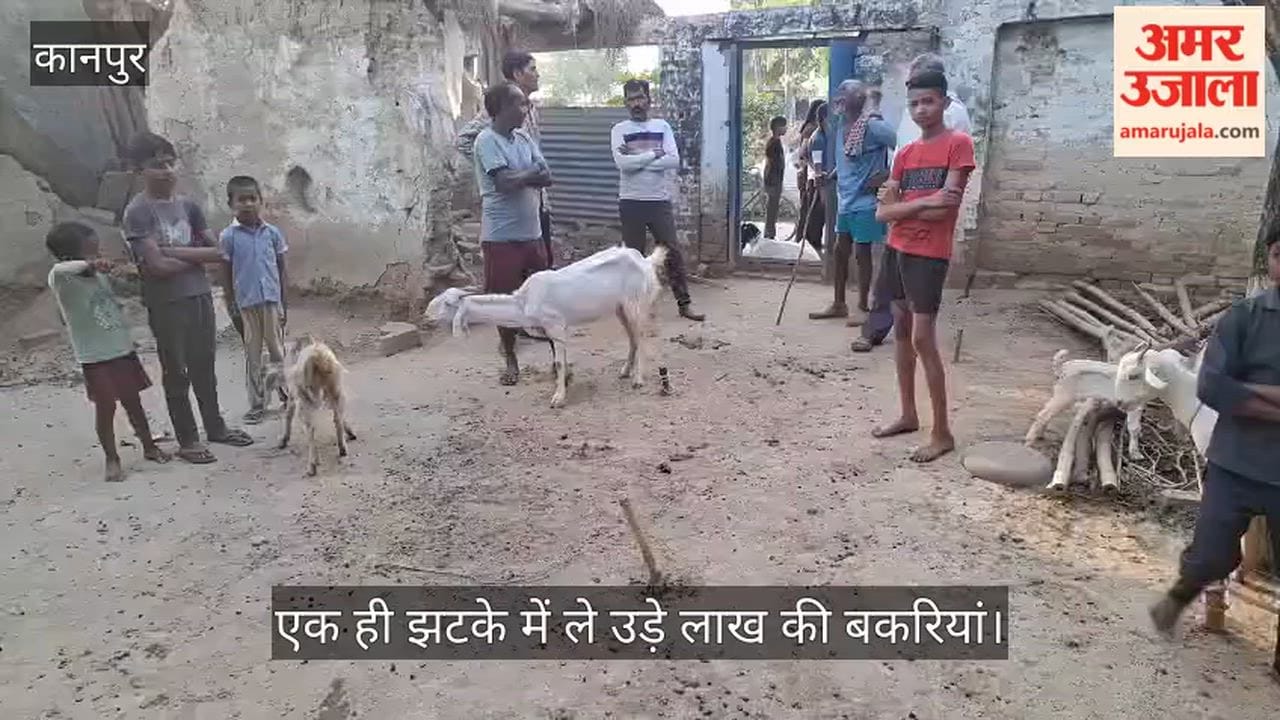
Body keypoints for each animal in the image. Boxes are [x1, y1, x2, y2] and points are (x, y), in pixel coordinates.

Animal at [273, 334, 357, 476]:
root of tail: (318, 356)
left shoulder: (293, 394)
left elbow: (288, 415)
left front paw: (284, 439)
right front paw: (350, 432)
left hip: (305, 399)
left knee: (310, 430)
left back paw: (312, 465)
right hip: (336, 390)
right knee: (337, 419)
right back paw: (342, 448)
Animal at [425, 244, 669, 408]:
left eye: (444, 304)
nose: (425, 317)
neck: (523, 303)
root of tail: (646, 261)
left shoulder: (556, 326)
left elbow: (559, 363)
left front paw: (558, 398)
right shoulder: (549, 330)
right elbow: (559, 360)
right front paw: (566, 383)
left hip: (635, 302)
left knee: (641, 336)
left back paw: (638, 379)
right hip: (620, 308)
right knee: (632, 337)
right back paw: (626, 371)